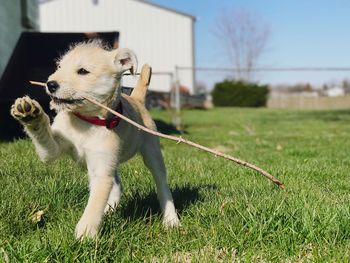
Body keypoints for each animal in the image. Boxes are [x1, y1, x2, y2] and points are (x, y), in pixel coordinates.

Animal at [10, 40, 180, 240]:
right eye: (59, 67)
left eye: (83, 71)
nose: (50, 84)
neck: (86, 122)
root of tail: (137, 100)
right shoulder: (54, 150)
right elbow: (43, 136)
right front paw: (30, 115)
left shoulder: (101, 169)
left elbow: (95, 203)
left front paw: (84, 234)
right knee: (117, 185)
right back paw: (110, 211)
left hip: (152, 154)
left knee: (162, 186)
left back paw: (171, 220)